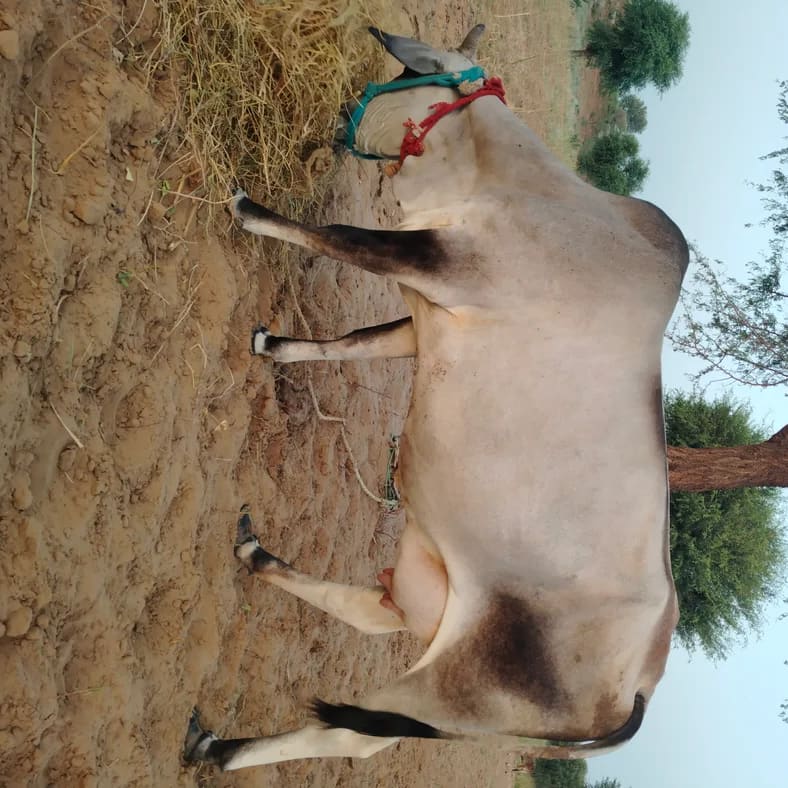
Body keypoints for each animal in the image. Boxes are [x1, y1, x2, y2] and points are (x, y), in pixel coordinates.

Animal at [183, 24, 687, 773]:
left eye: (402, 74)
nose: (345, 114)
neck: (526, 192)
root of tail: (639, 688)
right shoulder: (423, 315)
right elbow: (355, 340)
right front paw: (275, 346)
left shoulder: (436, 263)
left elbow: (337, 236)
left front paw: (249, 210)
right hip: (432, 601)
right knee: (369, 617)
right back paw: (256, 557)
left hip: (452, 691)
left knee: (345, 733)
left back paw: (220, 746)